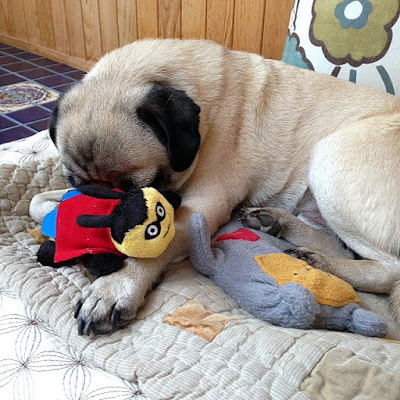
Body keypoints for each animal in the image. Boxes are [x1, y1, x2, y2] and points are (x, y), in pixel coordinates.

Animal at [43, 39, 400, 335]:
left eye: (145, 187)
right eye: (74, 183)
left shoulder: (201, 205)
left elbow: (153, 248)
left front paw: (115, 286)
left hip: (331, 160)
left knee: (388, 270)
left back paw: (319, 262)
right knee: (338, 244)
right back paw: (279, 225)